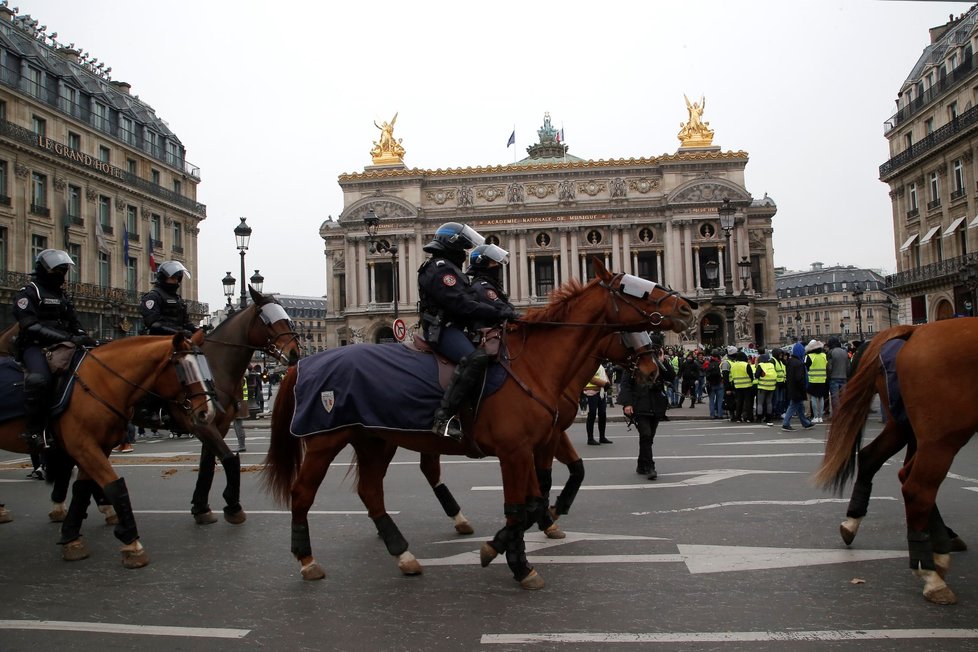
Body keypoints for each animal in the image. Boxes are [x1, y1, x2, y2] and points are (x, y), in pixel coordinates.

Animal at [0, 334, 215, 568]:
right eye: (183, 368)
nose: (208, 412)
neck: (102, 383)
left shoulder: (96, 447)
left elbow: (83, 489)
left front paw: (71, 538)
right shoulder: (84, 447)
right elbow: (114, 484)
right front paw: (132, 544)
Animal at [264, 262, 696, 592]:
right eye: (633, 288)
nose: (688, 306)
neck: (537, 366)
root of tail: (304, 363)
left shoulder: (538, 442)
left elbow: (542, 492)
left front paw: (530, 532)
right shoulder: (515, 451)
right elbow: (519, 506)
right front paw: (518, 562)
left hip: (375, 439)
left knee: (373, 491)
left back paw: (405, 553)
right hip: (325, 441)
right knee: (303, 493)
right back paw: (307, 560)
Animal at [808, 320, 976, 608]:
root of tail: (913, 331)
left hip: (910, 426)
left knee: (887, 466)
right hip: (936, 431)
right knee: (915, 485)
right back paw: (932, 573)